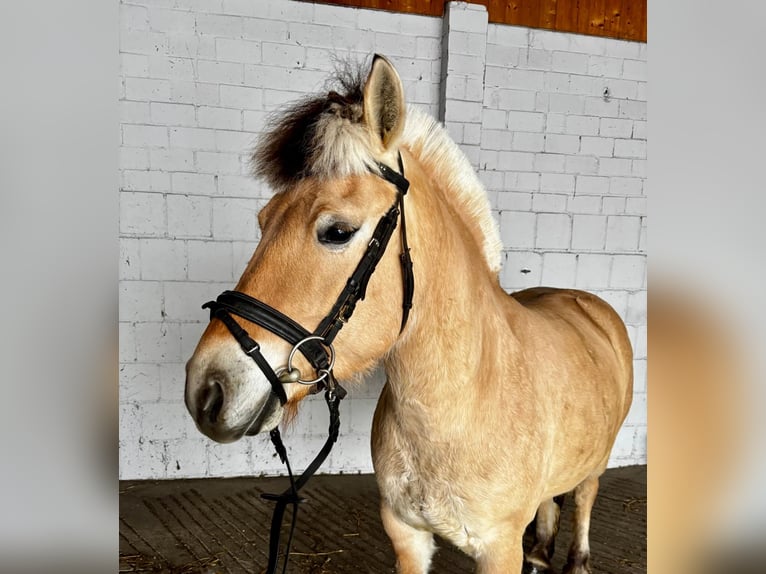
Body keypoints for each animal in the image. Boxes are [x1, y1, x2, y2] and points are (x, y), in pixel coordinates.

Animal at [184, 54, 633, 574]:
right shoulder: (406, 535)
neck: (460, 403)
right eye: (263, 220)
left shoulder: (498, 548)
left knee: (584, 498)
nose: (207, 390)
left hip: (596, 466)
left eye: (337, 231)